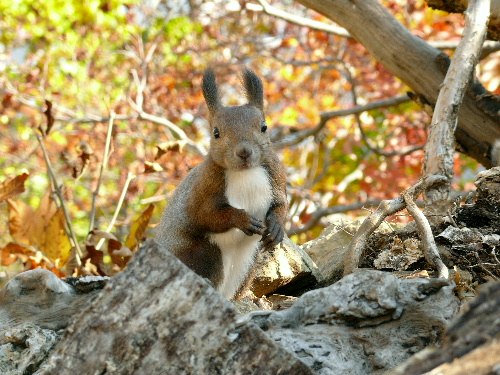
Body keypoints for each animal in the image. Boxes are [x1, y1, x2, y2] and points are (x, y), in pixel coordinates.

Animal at [156, 69, 290, 300]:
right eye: (216, 133)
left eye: (264, 127)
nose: (244, 152)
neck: (246, 173)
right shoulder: (203, 190)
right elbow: (207, 216)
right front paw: (242, 219)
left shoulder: (276, 177)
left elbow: (281, 205)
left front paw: (276, 226)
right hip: (204, 253)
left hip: (249, 265)